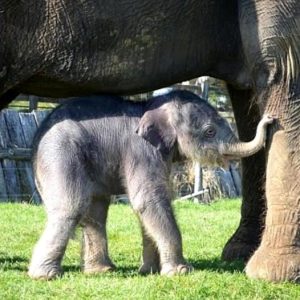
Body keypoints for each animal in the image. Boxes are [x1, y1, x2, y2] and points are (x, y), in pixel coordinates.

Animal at [28, 89, 272, 278]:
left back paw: (101, 271)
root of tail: (35, 142)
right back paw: (45, 275)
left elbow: (148, 206)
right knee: (72, 206)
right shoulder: (141, 150)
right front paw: (180, 271)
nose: (269, 119)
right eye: (210, 131)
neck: (153, 106)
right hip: (60, 153)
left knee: (96, 209)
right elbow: (149, 200)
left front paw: (150, 271)